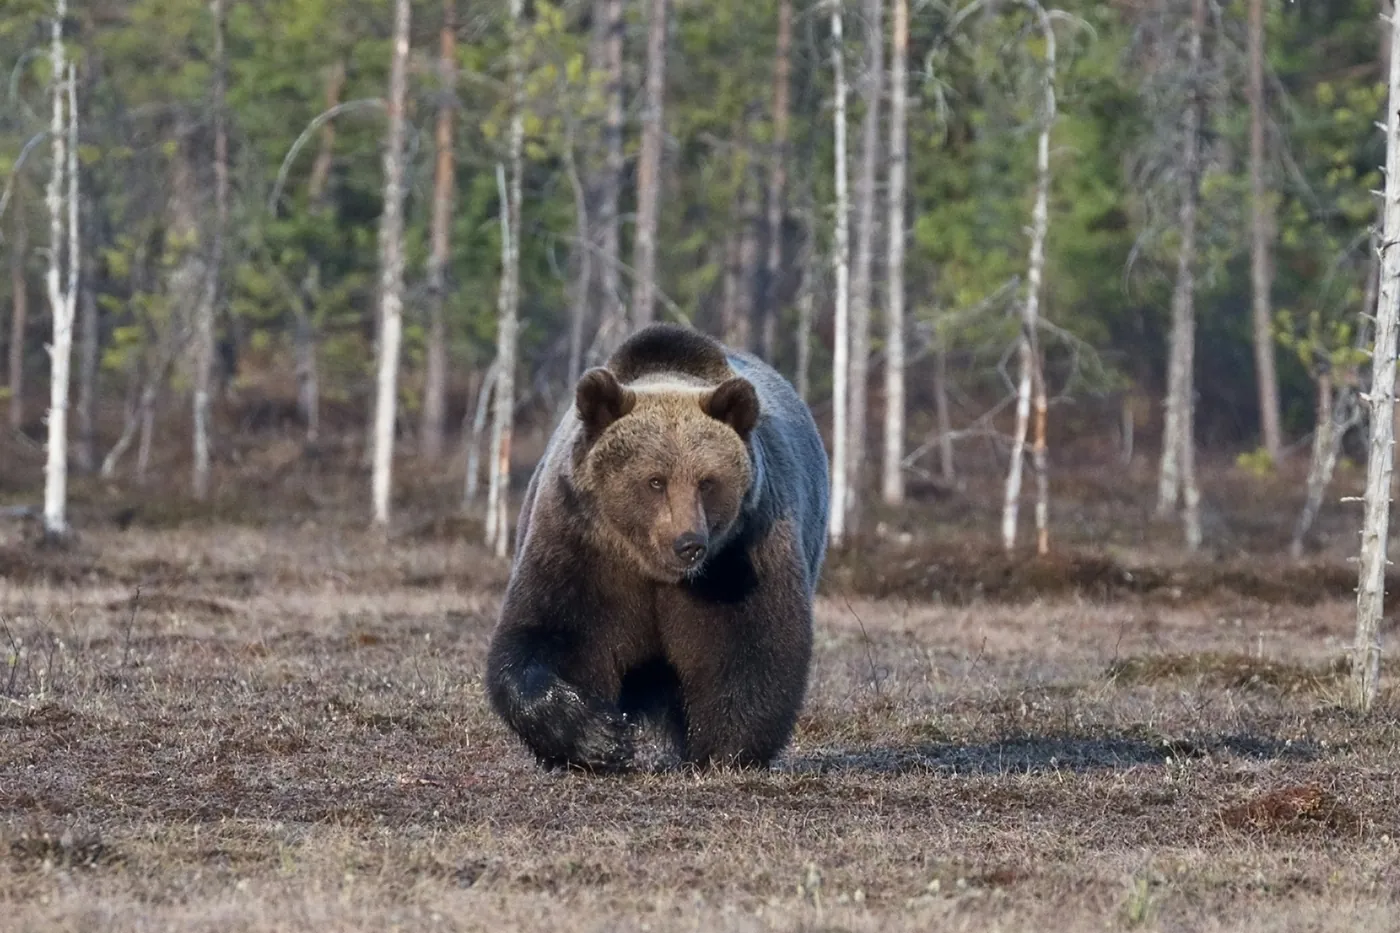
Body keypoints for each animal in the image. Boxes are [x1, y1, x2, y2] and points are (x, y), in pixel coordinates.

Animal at [484, 322, 830, 772]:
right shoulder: (580, 547)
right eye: (655, 481)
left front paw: (723, 750)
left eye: (707, 481)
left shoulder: (740, 555)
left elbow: (753, 645)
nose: (689, 544)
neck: (650, 567)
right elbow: (549, 636)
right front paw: (599, 736)